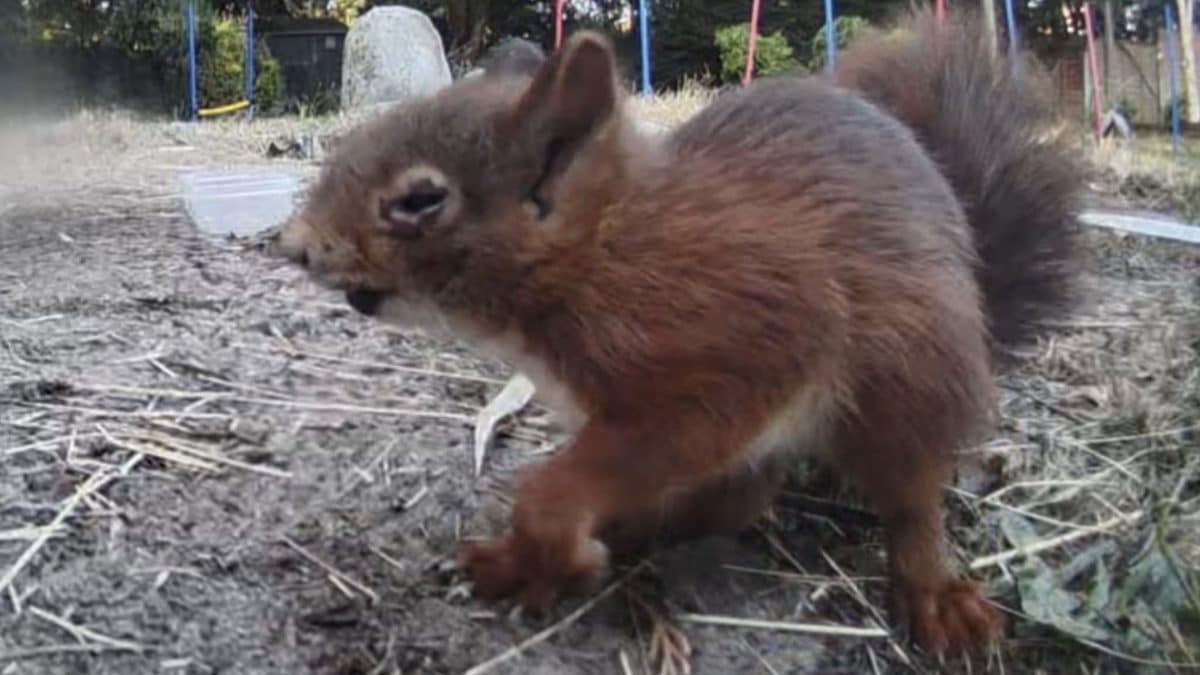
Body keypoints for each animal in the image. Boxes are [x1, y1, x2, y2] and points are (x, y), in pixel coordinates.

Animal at [273, 6, 1082, 656]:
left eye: (421, 199)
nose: (296, 244)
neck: (607, 252)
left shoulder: (743, 346)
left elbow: (617, 459)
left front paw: (547, 540)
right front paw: (536, 552)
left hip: (905, 388)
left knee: (908, 500)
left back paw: (935, 595)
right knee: (738, 498)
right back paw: (630, 529)